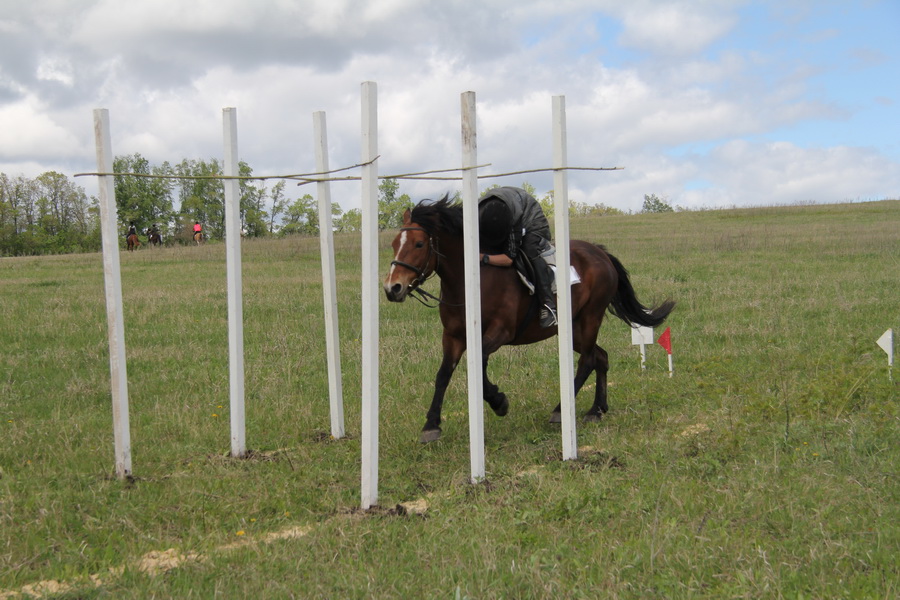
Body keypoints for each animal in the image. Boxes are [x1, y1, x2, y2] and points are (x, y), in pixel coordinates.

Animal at [382, 199, 676, 442]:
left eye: (419, 244)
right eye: (395, 244)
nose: (392, 288)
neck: (470, 281)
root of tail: (601, 253)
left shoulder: (500, 332)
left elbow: (479, 361)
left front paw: (499, 402)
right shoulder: (453, 337)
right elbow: (443, 374)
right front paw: (431, 425)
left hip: (591, 317)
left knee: (588, 360)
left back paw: (561, 410)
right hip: (573, 329)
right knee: (599, 357)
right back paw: (596, 409)